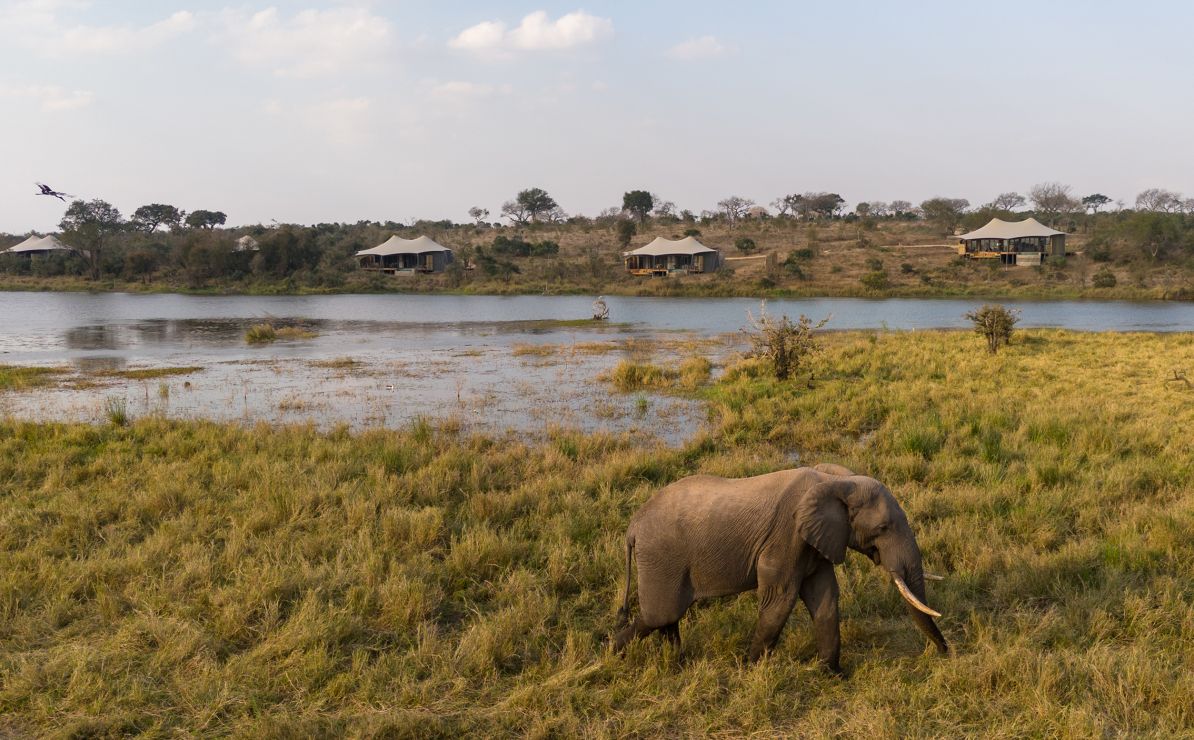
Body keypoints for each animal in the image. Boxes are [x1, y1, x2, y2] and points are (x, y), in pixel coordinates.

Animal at [612, 464, 947, 673]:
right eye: (882, 528)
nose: (946, 653)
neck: (836, 480)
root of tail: (632, 527)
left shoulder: (815, 542)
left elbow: (825, 599)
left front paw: (832, 674)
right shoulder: (786, 536)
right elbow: (780, 600)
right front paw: (749, 669)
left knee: (669, 615)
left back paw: (676, 663)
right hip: (661, 557)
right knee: (661, 614)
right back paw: (614, 654)